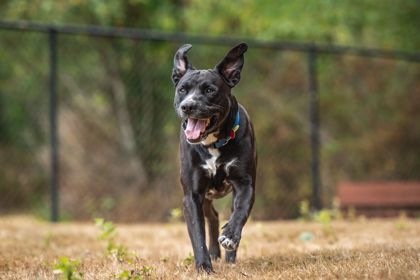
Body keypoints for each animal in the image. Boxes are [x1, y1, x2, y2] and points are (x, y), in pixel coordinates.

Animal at [171, 42, 256, 272]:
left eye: (210, 90)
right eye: (182, 90)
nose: (188, 106)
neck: (213, 144)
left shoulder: (245, 183)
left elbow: (240, 211)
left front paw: (230, 236)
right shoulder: (192, 195)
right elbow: (197, 234)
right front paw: (203, 266)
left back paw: (229, 255)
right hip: (206, 199)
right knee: (213, 217)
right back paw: (215, 254)